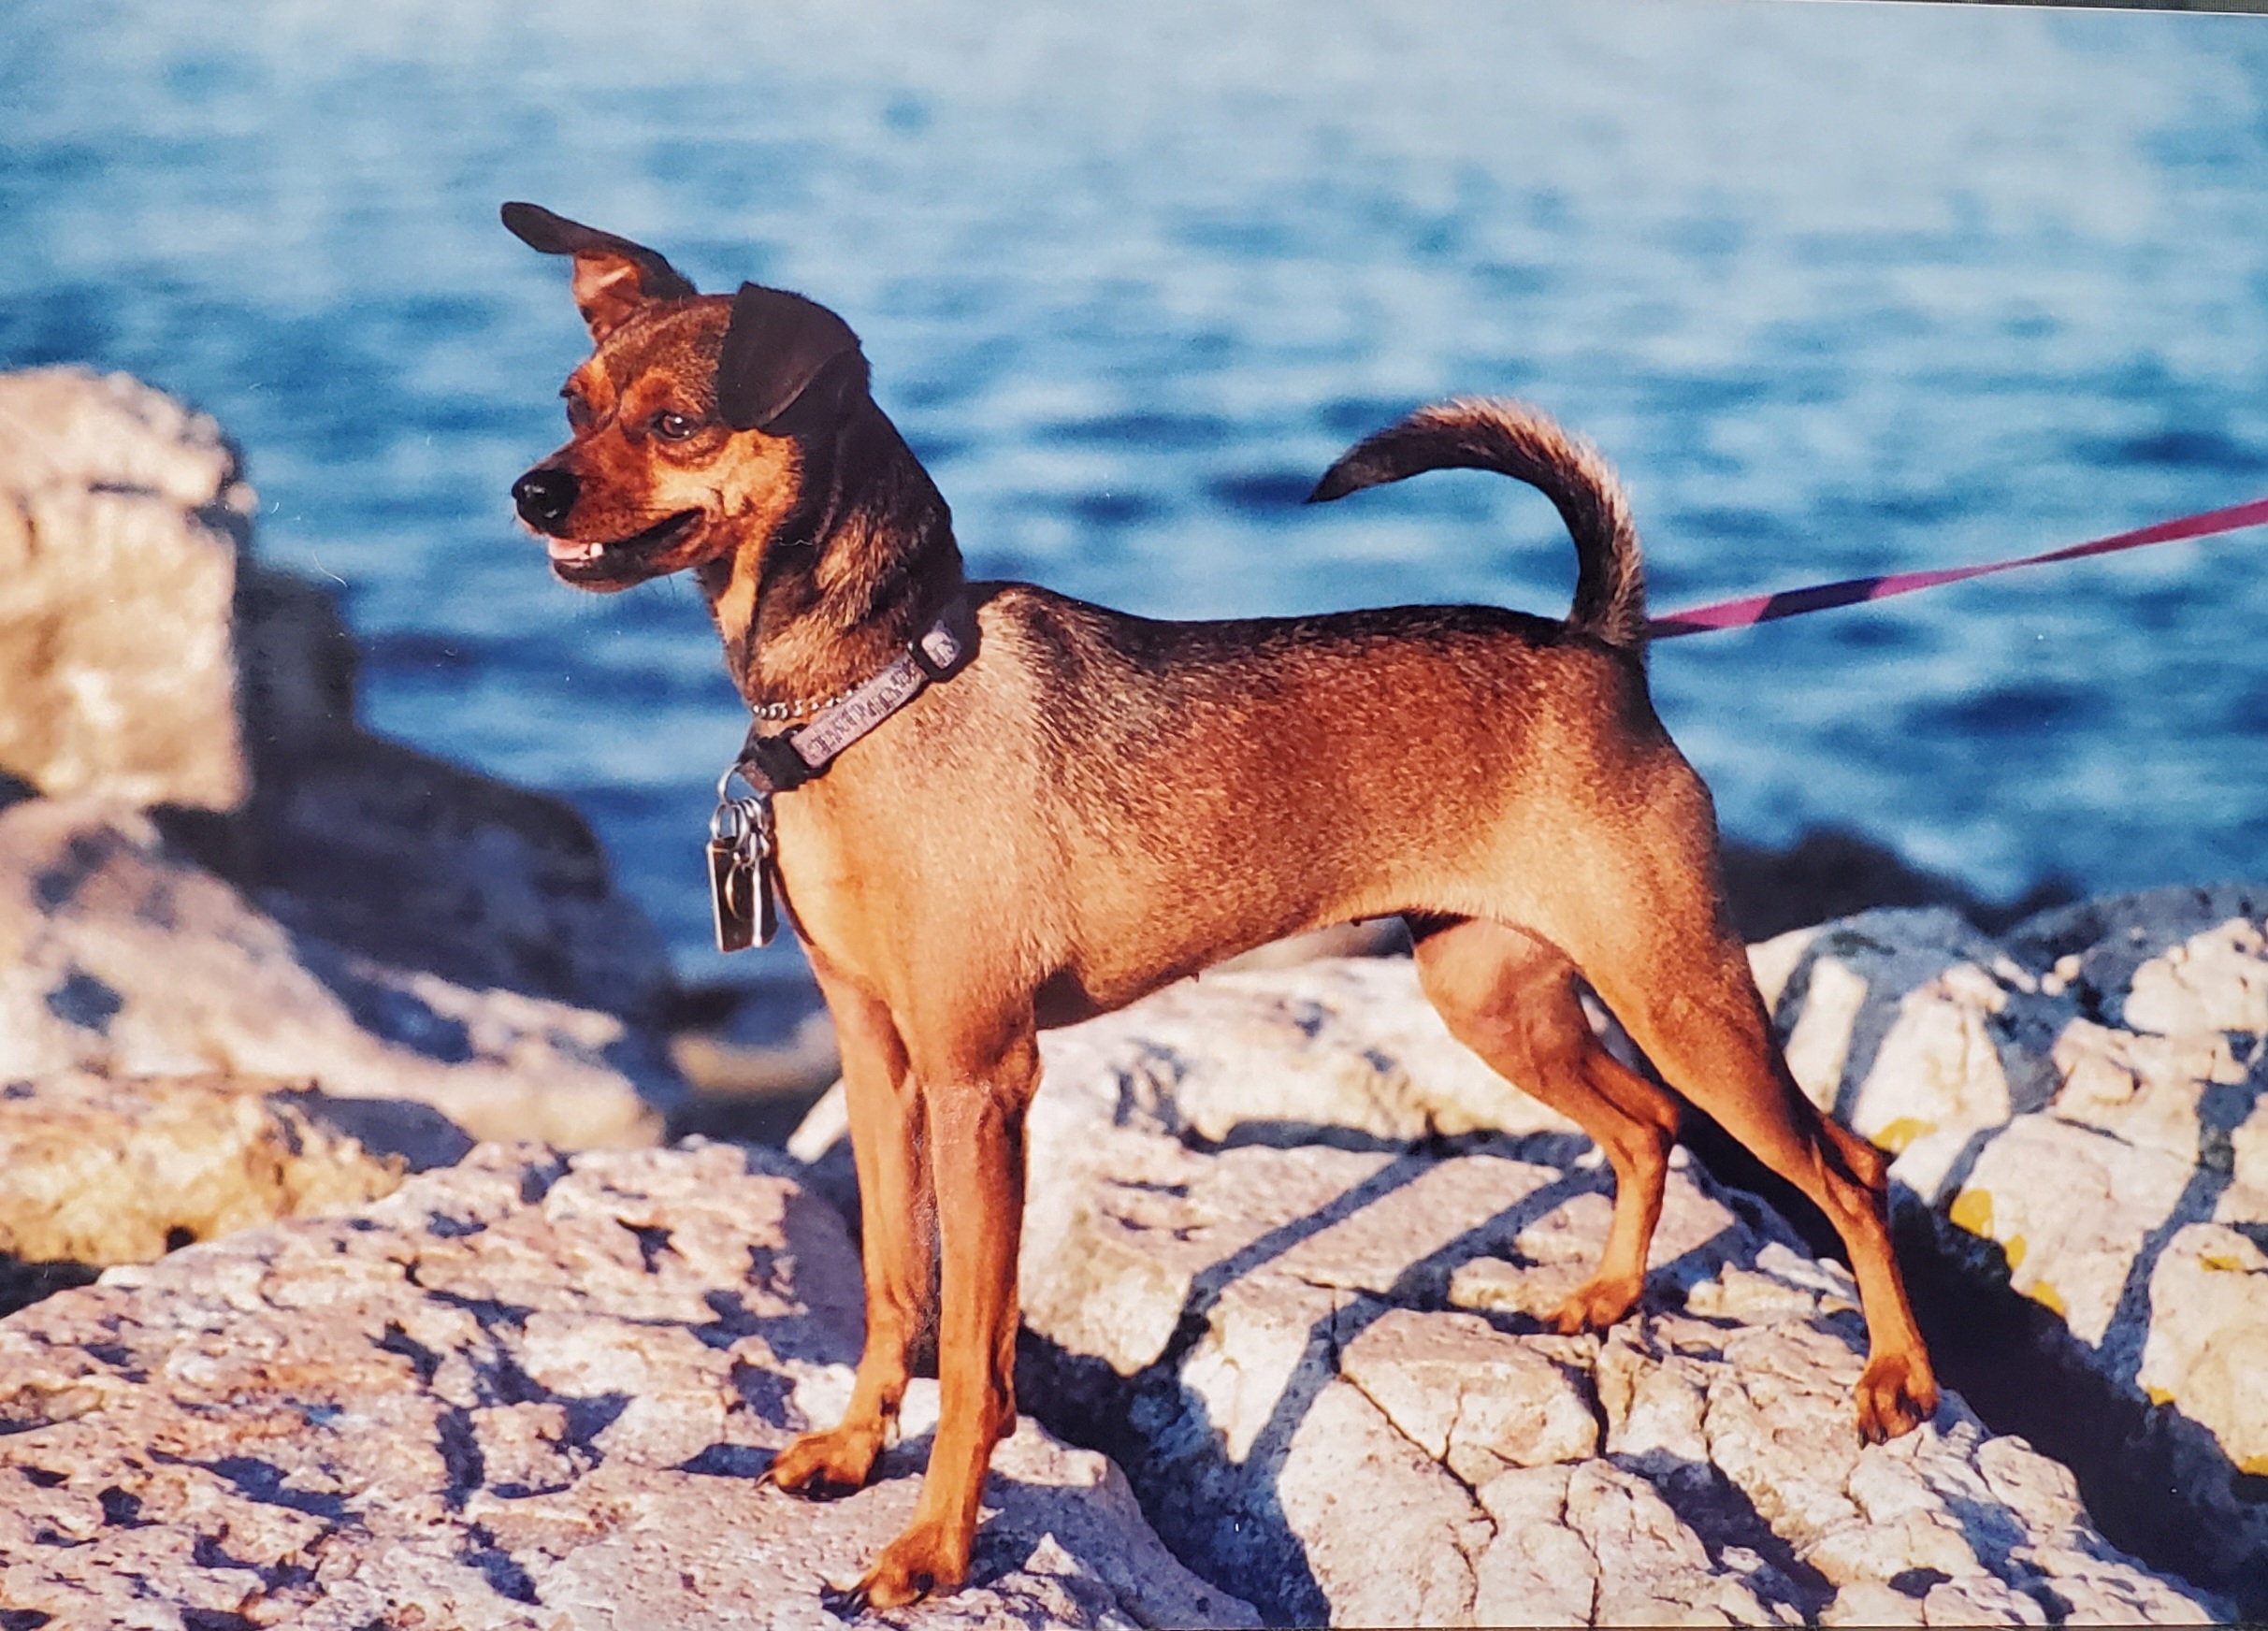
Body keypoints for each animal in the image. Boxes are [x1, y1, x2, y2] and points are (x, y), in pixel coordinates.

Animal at [505, 200, 1941, 1606]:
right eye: (574, 401)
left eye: (674, 424)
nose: (530, 489)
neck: (877, 685)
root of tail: (1601, 643)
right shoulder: (877, 1058)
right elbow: (893, 1288)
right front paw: (858, 1449)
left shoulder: (982, 1080)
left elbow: (971, 1349)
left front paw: (935, 1548)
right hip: (1496, 994)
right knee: (1645, 1127)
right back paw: (1604, 1297)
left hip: (1679, 991)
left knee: (1848, 1164)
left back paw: (1895, 1382)